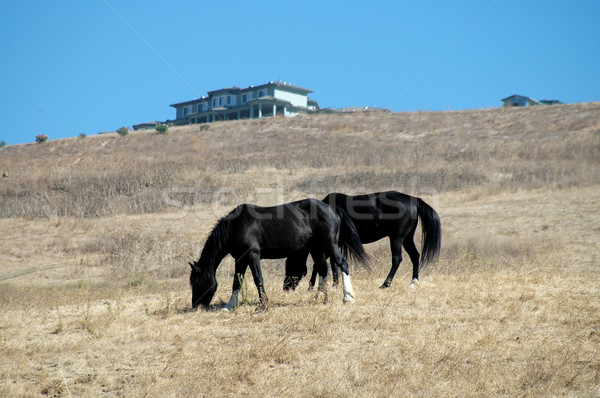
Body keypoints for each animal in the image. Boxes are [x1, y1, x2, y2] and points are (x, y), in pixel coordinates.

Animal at [190, 198, 368, 310]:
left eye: (196, 281)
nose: (195, 305)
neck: (236, 225)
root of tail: (331, 208)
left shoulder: (252, 255)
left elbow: (258, 279)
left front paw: (263, 305)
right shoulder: (240, 259)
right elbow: (237, 282)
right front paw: (229, 306)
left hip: (329, 245)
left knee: (342, 264)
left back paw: (348, 297)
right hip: (316, 248)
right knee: (323, 269)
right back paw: (319, 299)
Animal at [282, 190, 440, 290]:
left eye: (289, 264)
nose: (286, 286)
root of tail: (415, 201)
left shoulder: (331, 243)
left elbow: (321, 264)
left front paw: (312, 285)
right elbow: (333, 263)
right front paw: (334, 284)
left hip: (397, 238)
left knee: (397, 259)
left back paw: (385, 284)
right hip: (407, 238)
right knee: (415, 256)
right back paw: (413, 282)